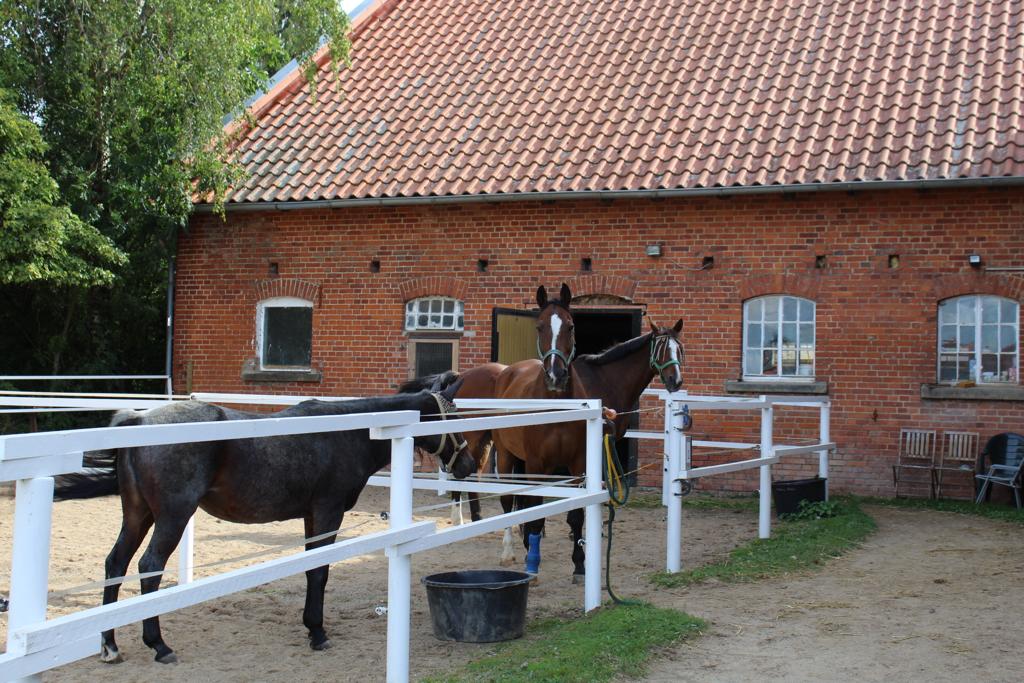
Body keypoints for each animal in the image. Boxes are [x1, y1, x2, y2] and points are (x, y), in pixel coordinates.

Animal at [54, 382, 472, 665]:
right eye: (454, 416)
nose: (469, 465)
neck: (349, 431)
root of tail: (139, 418)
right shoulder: (328, 511)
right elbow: (320, 571)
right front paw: (318, 632)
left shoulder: (311, 515)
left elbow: (311, 570)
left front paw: (311, 627)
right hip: (172, 516)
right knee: (149, 567)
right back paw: (159, 645)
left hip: (137, 515)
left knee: (116, 564)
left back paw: (110, 646)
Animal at [492, 318, 685, 580]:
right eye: (662, 349)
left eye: (680, 349)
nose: (676, 381)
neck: (606, 381)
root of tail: (507, 373)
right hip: (506, 453)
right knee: (507, 498)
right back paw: (509, 551)